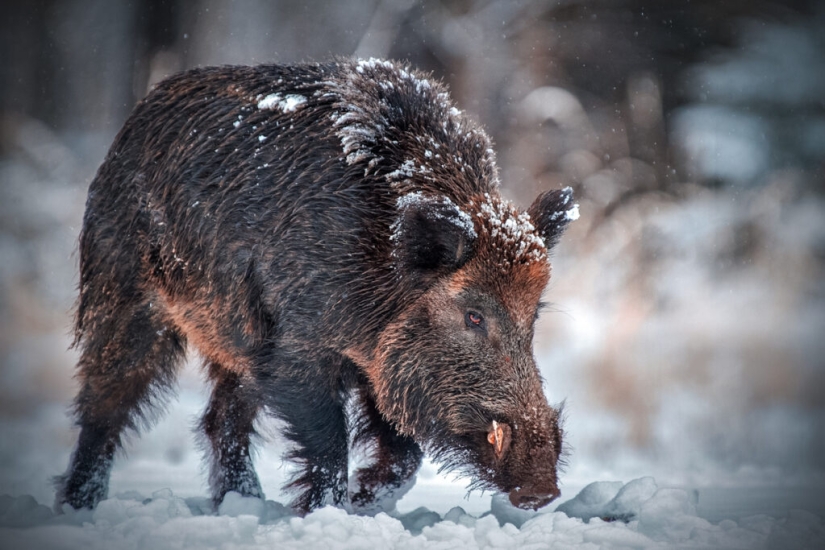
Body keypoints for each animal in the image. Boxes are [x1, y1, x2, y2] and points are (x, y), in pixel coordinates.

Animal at [54, 58, 578, 515]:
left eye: (533, 317)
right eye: (473, 314)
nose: (542, 490)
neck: (379, 261)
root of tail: (136, 118)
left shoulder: (374, 368)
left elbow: (405, 457)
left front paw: (364, 501)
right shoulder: (298, 351)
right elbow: (330, 446)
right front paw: (331, 510)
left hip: (238, 341)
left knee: (220, 418)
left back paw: (244, 503)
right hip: (124, 294)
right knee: (105, 402)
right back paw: (79, 506)